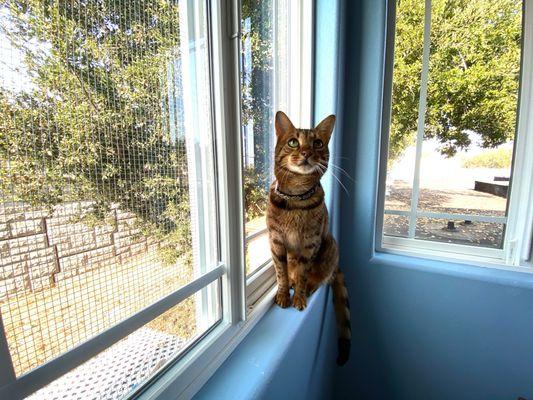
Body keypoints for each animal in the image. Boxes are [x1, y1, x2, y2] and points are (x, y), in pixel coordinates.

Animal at [264, 110, 350, 366]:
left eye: (318, 143)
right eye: (294, 141)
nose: (306, 153)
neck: (295, 199)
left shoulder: (310, 244)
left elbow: (303, 273)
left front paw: (299, 297)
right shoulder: (276, 242)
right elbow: (281, 272)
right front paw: (284, 294)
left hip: (330, 244)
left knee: (321, 276)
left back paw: (310, 286)